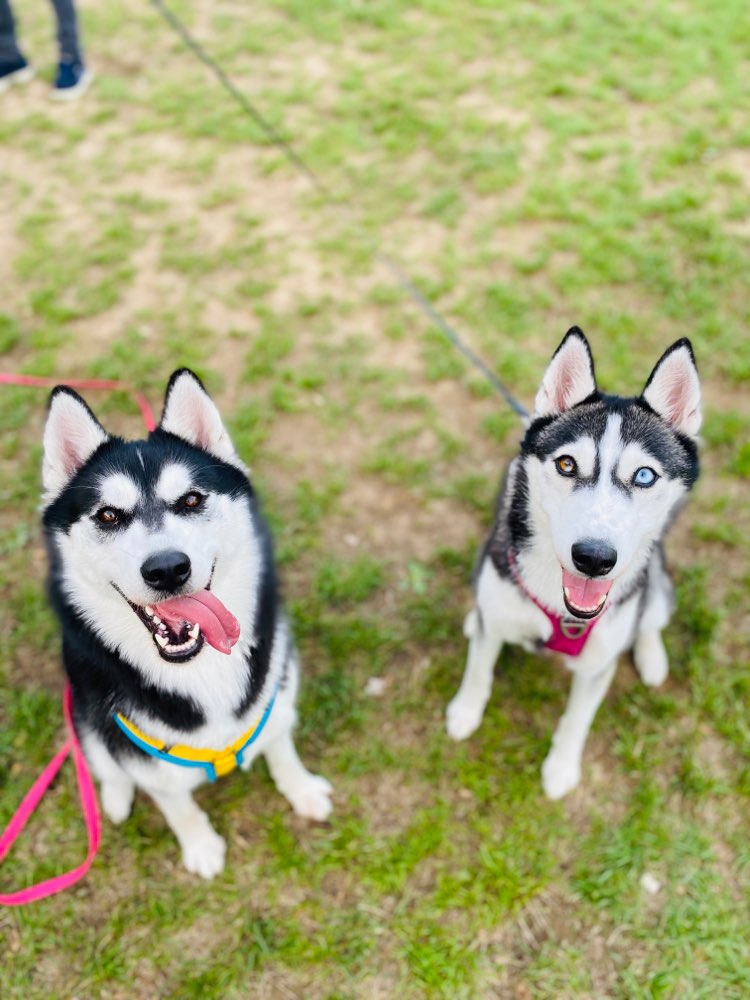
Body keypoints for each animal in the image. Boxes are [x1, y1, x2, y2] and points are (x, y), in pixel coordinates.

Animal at [42, 372, 334, 880]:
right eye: (108, 515)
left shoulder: (275, 695)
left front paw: (301, 790)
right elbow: (175, 803)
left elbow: (281, 746)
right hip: (83, 711)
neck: (200, 669)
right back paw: (115, 798)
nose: (166, 569)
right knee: (103, 761)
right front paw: (200, 846)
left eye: (192, 500)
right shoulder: (135, 747)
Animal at [446, 332, 700, 800]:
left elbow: (577, 719)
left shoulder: (597, 665)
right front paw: (466, 711)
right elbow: (478, 670)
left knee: (651, 616)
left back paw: (651, 656)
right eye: (567, 464)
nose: (594, 558)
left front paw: (561, 767)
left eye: (644, 476)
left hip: (655, 581)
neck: (562, 612)